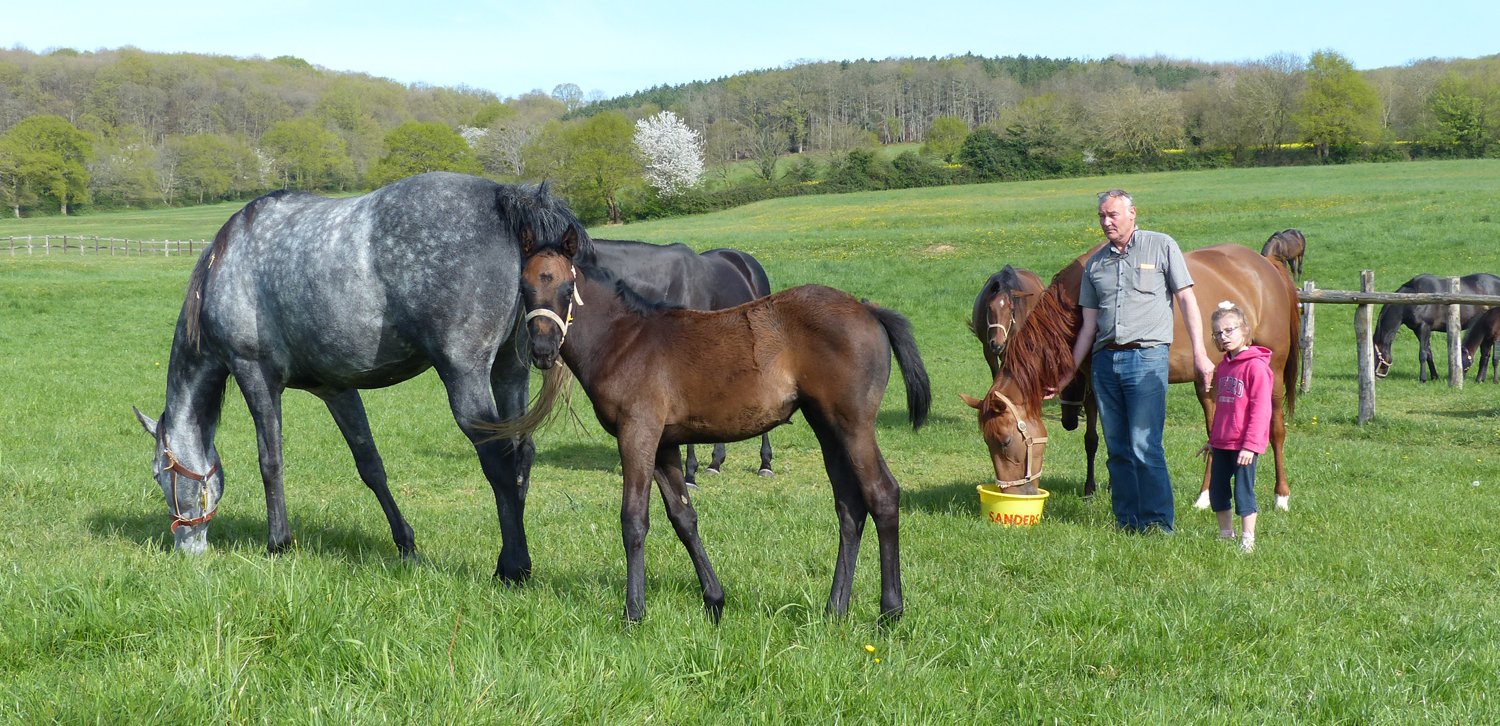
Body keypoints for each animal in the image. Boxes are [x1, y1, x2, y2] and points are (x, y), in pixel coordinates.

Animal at [133, 172, 584, 585]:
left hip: (465, 377)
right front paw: (405, 544)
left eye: (158, 473)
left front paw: (279, 543)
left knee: (499, 461)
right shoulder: (337, 389)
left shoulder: (254, 374)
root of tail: (502, 199)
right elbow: (370, 465)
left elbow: (270, 460)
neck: (224, 267)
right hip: (511, 369)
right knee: (522, 455)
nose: (185, 548)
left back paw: (512, 567)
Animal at [962, 243, 1300, 511]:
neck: (1078, 304)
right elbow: (1100, 439)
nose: (1016, 493)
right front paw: (1099, 489)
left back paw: (1281, 496)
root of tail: (1264, 265)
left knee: (1276, 430)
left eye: (1005, 441)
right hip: (1210, 378)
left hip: (1273, 370)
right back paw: (1206, 497)